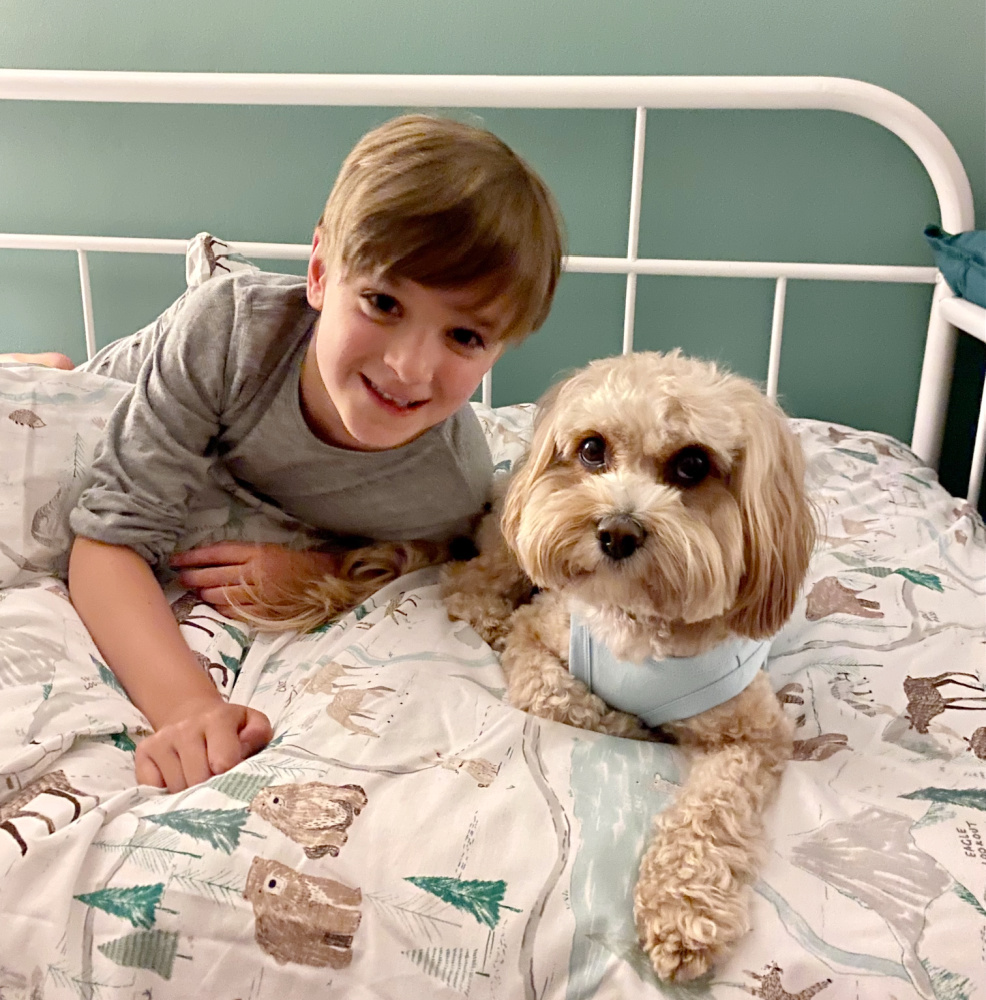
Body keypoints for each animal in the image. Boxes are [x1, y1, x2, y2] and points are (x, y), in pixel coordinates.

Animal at [442, 350, 812, 976]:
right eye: (592, 449)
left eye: (692, 464)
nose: (616, 531)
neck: (639, 619)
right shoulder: (539, 633)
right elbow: (563, 699)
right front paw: (634, 727)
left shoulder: (752, 735)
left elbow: (710, 812)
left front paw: (685, 910)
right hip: (512, 550)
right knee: (467, 587)